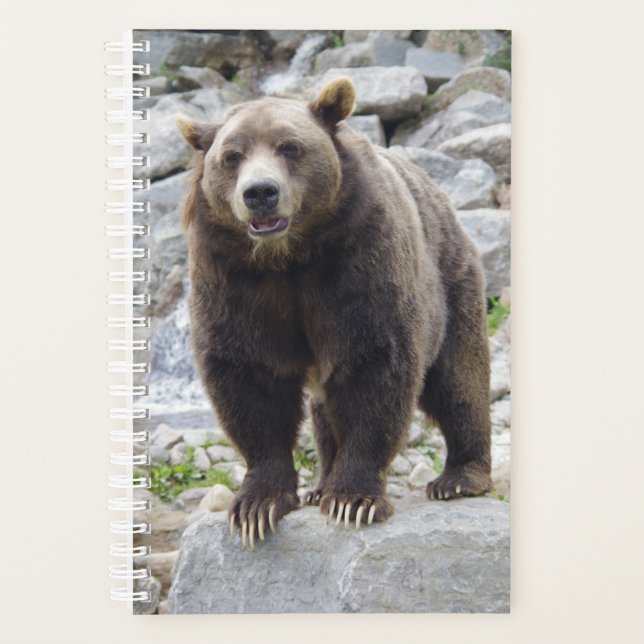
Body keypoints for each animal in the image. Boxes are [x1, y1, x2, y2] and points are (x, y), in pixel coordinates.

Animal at [177, 77, 492, 550]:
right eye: (232, 156)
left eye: (290, 147)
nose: (260, 193)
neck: (288, 258)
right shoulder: (232, 278)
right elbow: (248, 376)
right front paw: (257, 506)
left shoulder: (358, 260)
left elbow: (374, 364)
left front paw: (353, 499)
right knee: (325, 409)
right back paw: (320, 483)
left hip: (452, 281)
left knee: (458, 379)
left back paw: (460, 477)